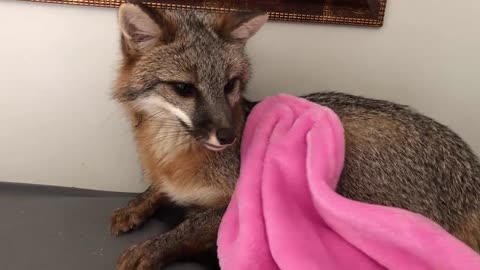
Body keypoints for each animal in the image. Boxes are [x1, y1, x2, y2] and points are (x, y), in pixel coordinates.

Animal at [109, 2, 480, 270]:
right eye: (184, 89)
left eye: (230, 85)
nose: (229, 136)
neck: (172, 157)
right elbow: (157, 190)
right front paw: (135, 206)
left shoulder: (238, 202)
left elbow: (190, 226)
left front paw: (152, 248)